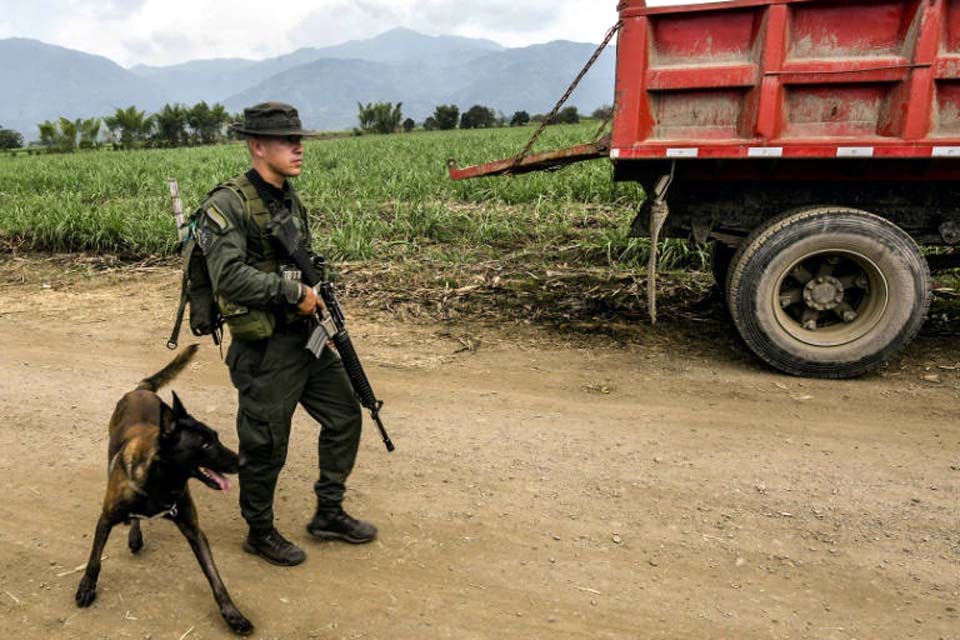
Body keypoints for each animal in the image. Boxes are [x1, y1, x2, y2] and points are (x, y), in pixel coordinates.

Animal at [75, 344, 253, 636]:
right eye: (205, 444)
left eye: (216, 437)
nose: (243, 461)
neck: (161, 484)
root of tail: (141, 390)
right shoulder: (106, 517)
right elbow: (94, 559)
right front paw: (86, 588)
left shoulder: (194, 530)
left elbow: (215, 576)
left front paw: (233, 615)